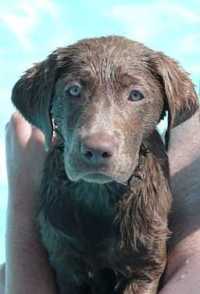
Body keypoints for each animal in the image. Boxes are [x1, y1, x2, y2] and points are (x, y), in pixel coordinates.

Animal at [11, 36, 198, 294]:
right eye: (74, 90)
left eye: (135, 95)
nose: (97, 150)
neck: (98, 194)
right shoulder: (66, 262)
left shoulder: (145, 267)